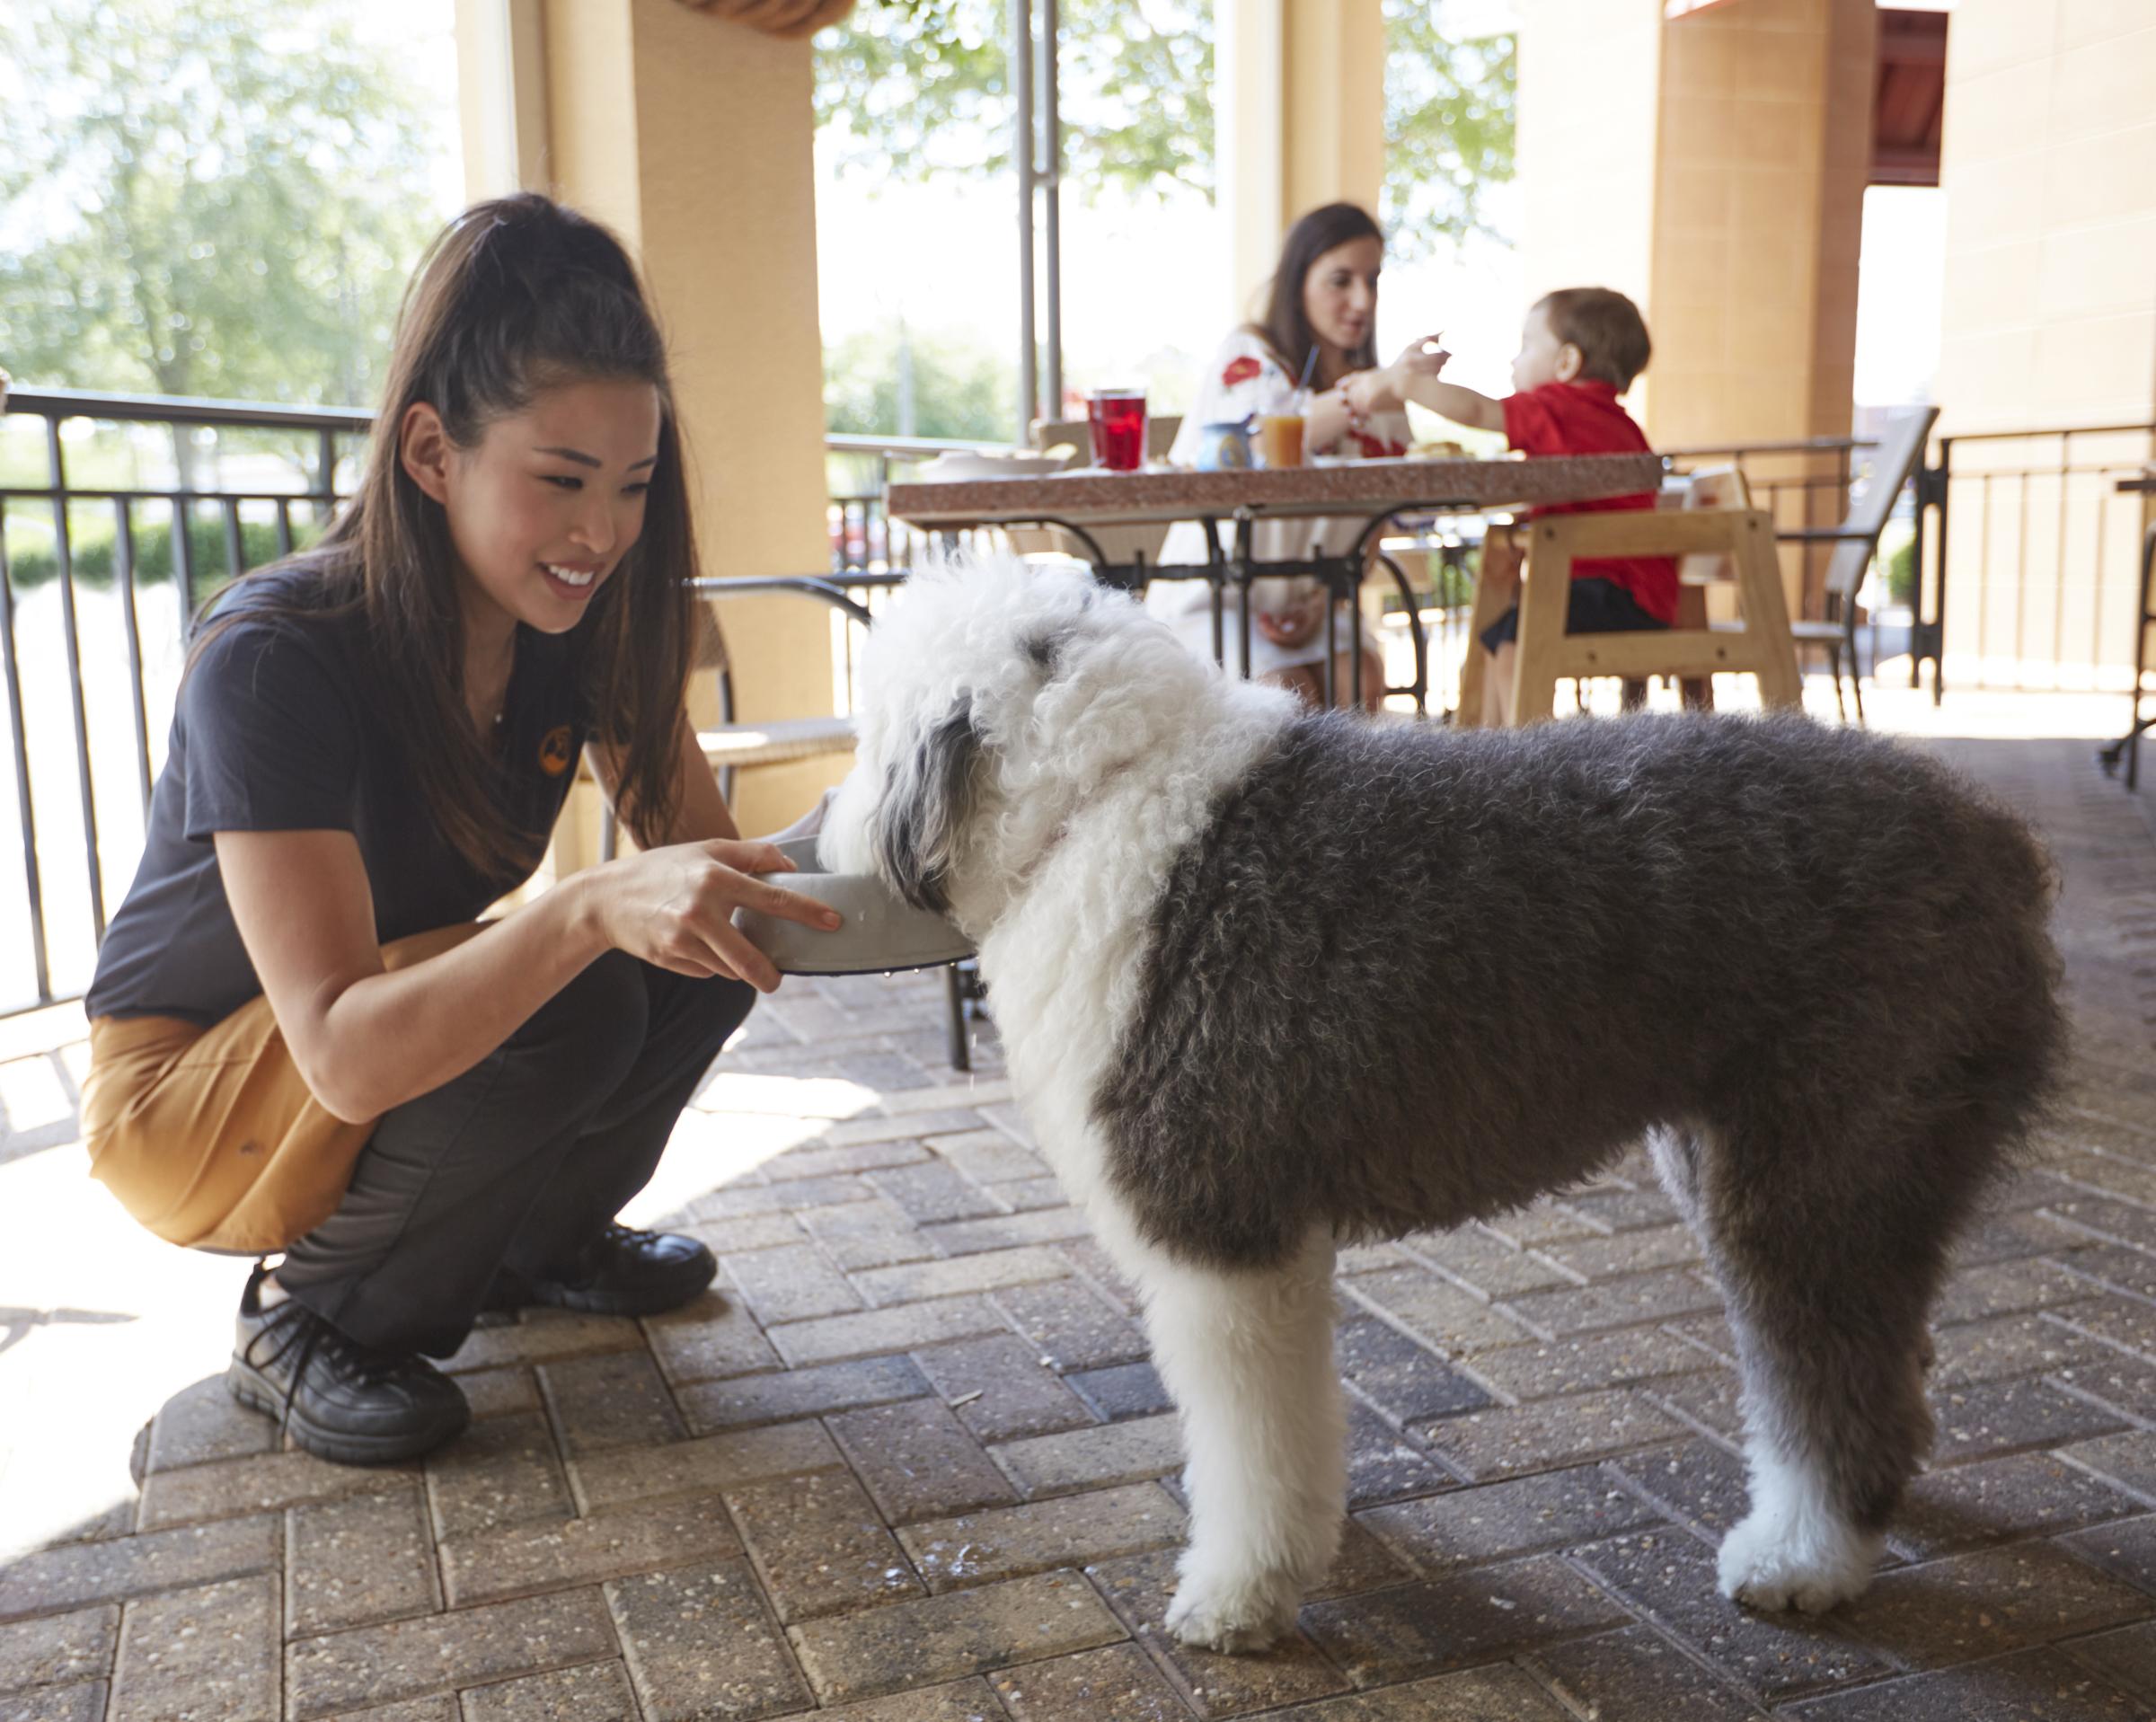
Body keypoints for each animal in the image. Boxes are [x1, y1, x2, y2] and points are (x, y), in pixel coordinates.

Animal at [815, 560, 2061, 1647]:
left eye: (867, 726)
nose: (822, 824)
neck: (1110, 795)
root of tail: (1999, 842)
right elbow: (1293, 1427)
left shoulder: (1220, 1236)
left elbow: (1246, 1437)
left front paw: (1239, 1594)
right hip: (1786, 1159)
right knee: (1885, 1362)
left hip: (1817, 1161)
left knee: (1833, 1374)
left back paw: (1803, 1556)